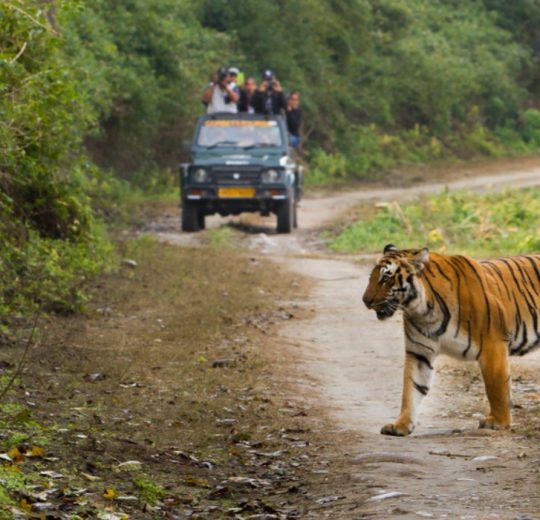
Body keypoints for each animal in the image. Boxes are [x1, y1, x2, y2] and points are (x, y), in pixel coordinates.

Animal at [360, 243, 540, 434]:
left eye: (385, 279)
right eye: (371, 277)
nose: (365, 301)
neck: (423, 311)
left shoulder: (493, 344)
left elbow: (496, 388)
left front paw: (499, 422)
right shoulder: (418, 352)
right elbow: (411, 388)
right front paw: (400, 425)